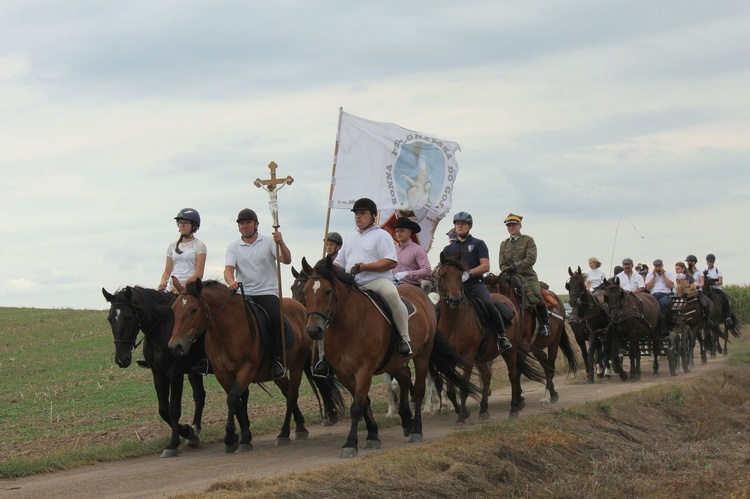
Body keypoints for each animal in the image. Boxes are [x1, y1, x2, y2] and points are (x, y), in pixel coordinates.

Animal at [101, 286, 206, 458]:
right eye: (110, 319)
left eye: (129, 317)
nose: (121, 359)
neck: (161, 330)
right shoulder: (158, 374)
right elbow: (163, 410)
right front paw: (187, 431)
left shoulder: (175, 373)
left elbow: (174, 408)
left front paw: (173, 443)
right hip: (194, 371)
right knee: (199, 395)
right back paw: (194, 431)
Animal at [168, 280, 346, 456]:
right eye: (174, 309)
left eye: (193, 309)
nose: (175, 346)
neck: (227, 330)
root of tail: (302, 309)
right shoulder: (222, 373)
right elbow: (237, 402)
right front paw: (244, 437)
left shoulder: (247, 368)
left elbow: (233, 399)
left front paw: (231, 438)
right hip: (278, 373)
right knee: (287, 390)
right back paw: (300, 426)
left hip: (297, 362)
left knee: (291, 394)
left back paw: (285, 433)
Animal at [302, 256, 478, 458]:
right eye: (305, 292)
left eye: (327, 291)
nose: (313, 330)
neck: (347, 325)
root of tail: (422, 295)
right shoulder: (343, 373)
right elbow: (364, 403)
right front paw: (372, 435)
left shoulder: (365, 369)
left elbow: (357, 406)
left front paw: (350, 443)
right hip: (394, 362)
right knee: (404, 378)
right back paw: (407, 420)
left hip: (422, 354)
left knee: (418, 388)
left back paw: (416, 429)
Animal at [432, 254, 548, 422]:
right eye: (443, 275)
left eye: (460, 276)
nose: (456, 300)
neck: (453, 322)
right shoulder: (449, 359)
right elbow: (451, 390)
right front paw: (464, 412)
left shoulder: (467, 357)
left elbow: (464, 387)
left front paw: (461, 417)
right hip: (483, 355)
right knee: (486, 376)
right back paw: (483, 410)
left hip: (510, 350)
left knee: (512, 374)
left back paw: (513, 409)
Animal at [488, 270, 580, 402]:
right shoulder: (510, 348)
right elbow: (515, 369)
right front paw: (518, 395)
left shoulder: (523, 346)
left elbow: (517, 369)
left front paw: (518, 397)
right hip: (535, 347)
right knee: (545, 363)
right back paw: (552, 390)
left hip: (554, 342)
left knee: (550, 365)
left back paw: (551, 394)